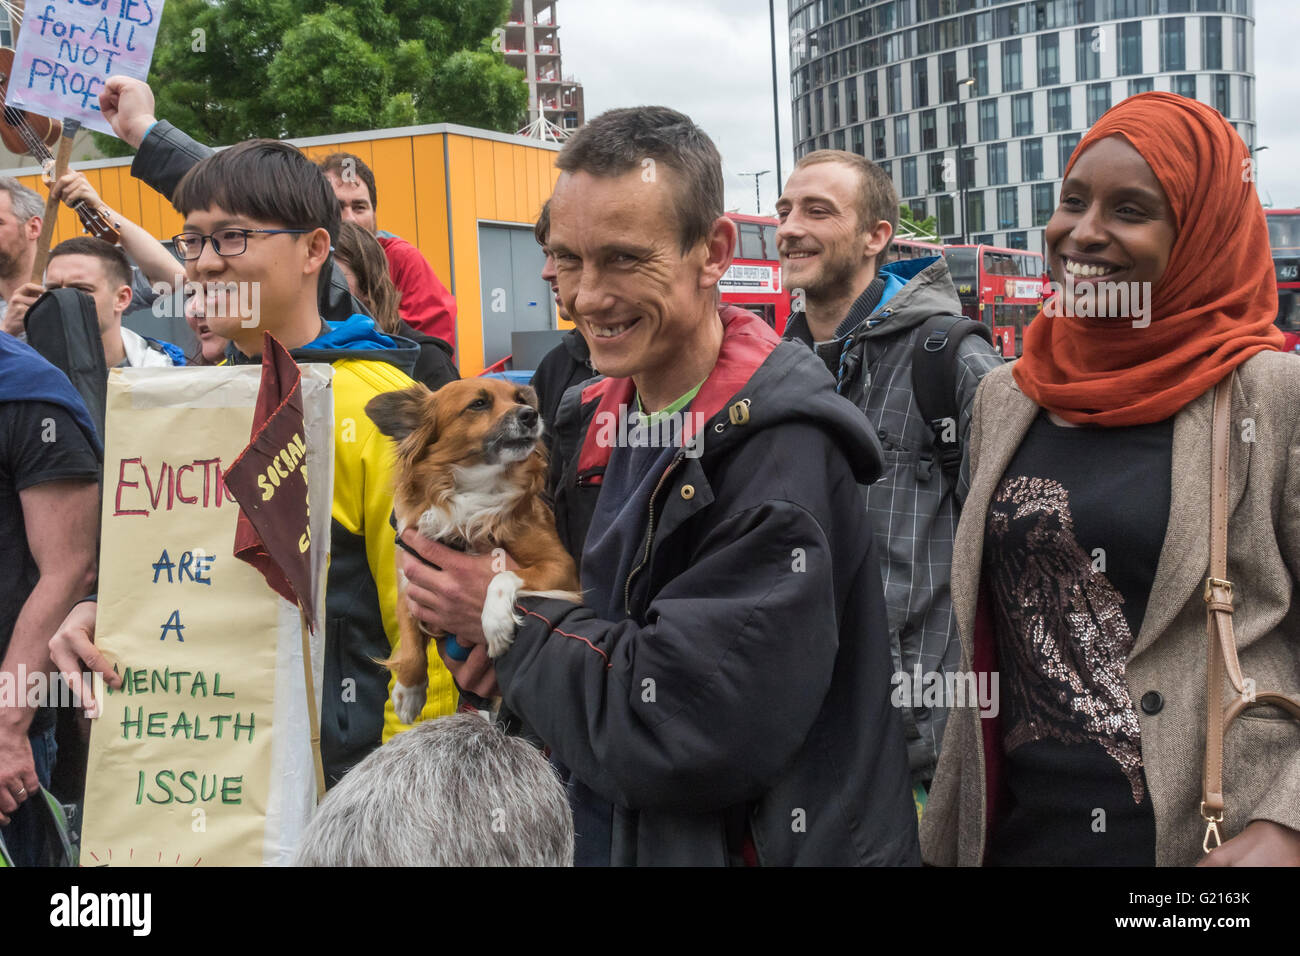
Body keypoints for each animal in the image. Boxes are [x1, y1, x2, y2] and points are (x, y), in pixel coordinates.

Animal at [371, 377, 585, 723]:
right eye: (479, 404)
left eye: (519, 398)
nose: (531, 414)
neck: (478, 491)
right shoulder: (410, 582)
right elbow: (410, 637)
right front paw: (408, 690)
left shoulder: (563, 568)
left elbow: (501, 577)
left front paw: (495, 624)